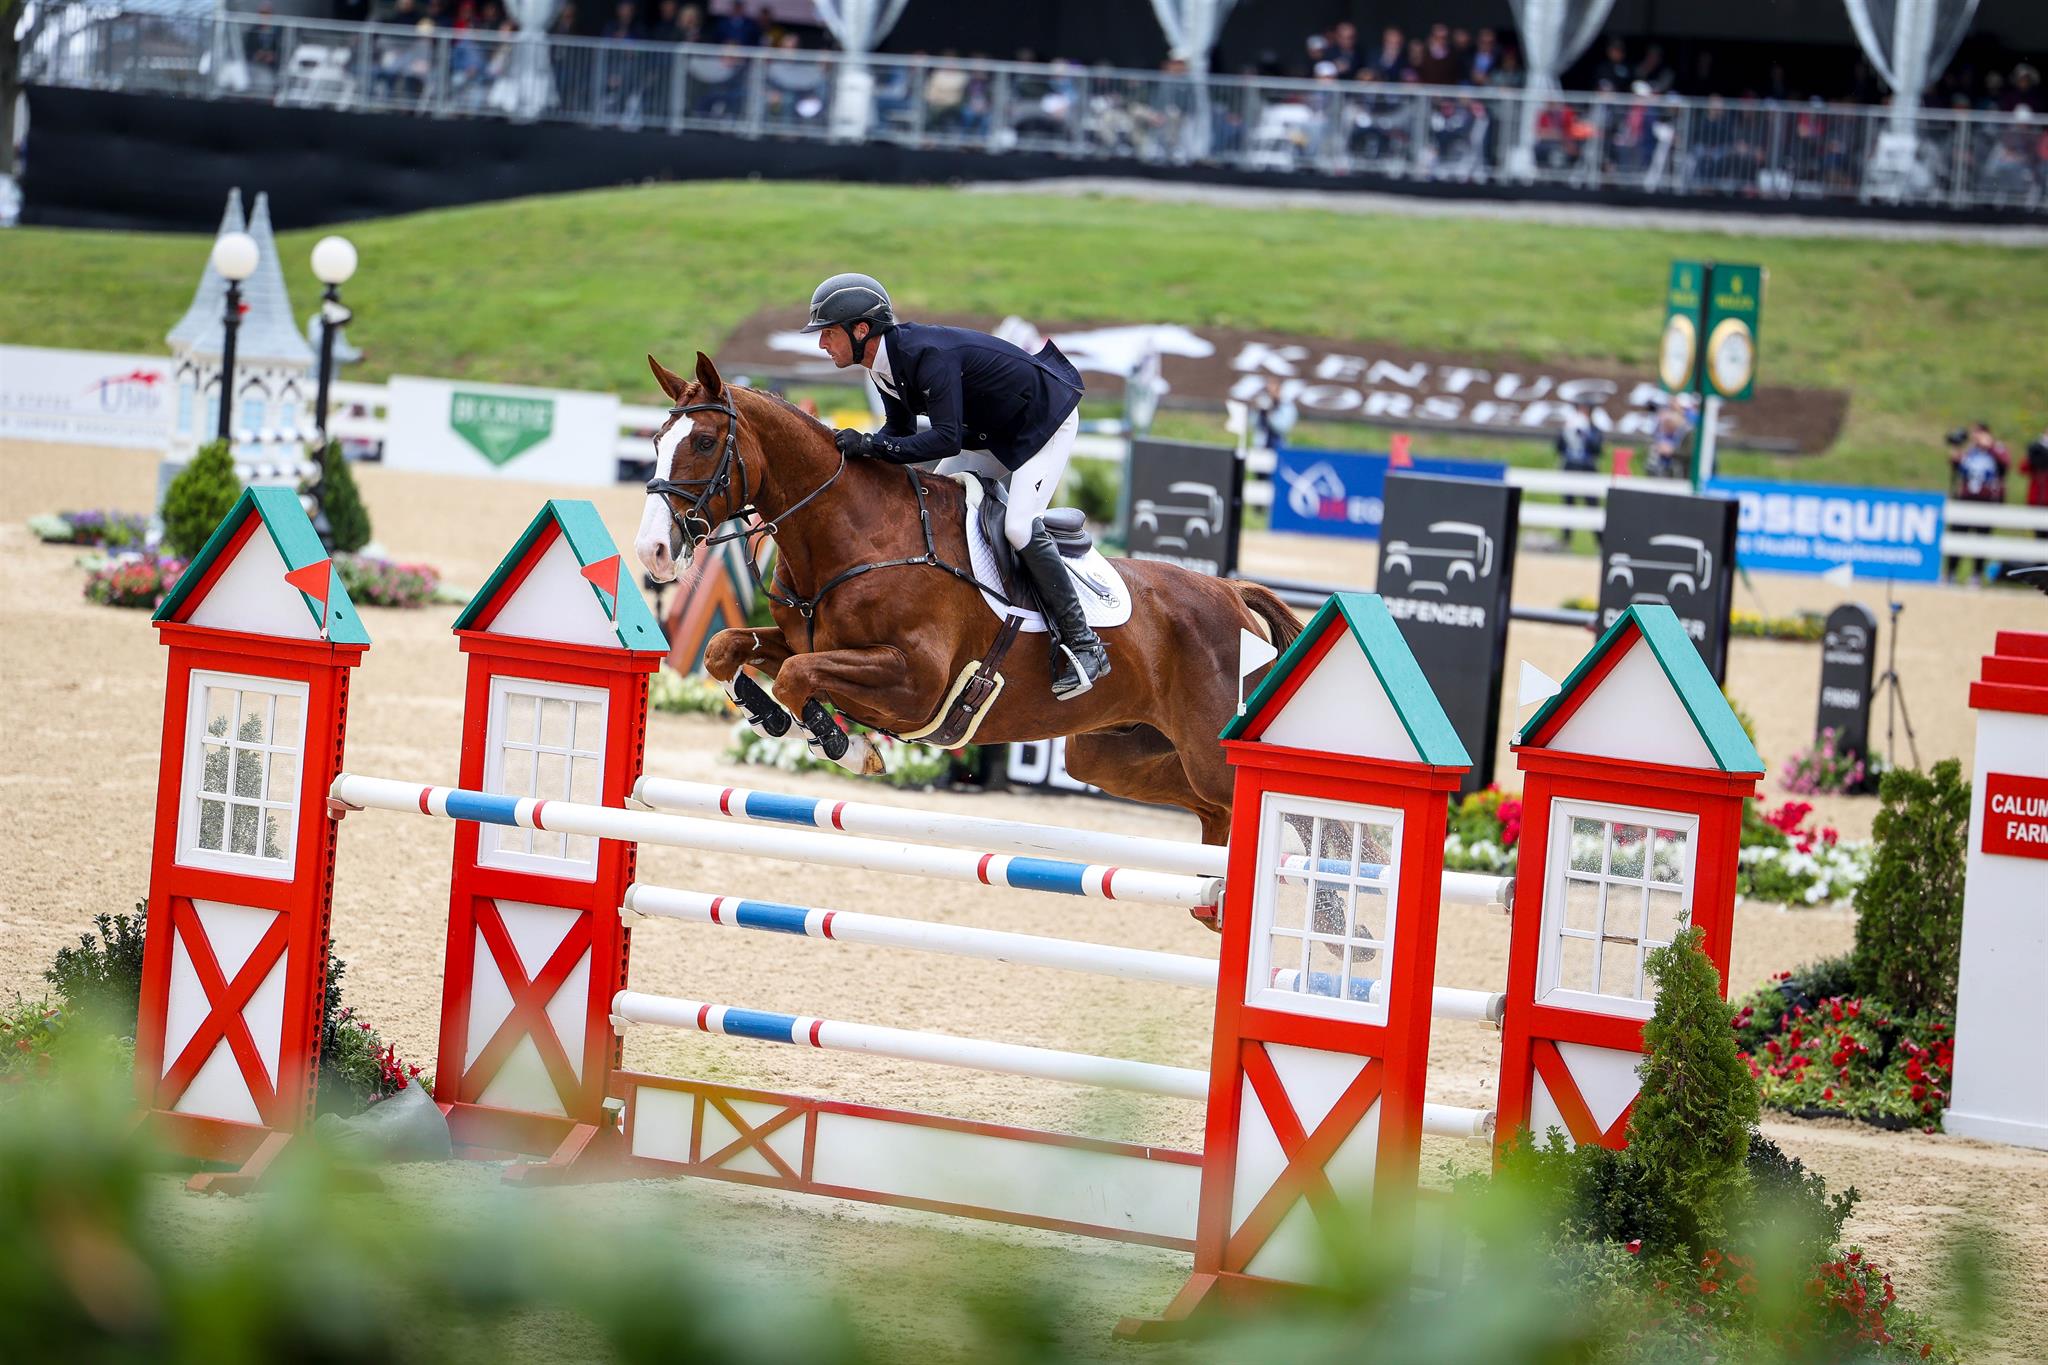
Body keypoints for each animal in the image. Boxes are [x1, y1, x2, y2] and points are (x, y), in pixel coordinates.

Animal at [630, 356, 1302, 855]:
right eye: (657, 441)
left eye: (706, 441)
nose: (653, 551)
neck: (853, 532)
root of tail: (1230, 592)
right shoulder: (808, 641)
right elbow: (727, 650)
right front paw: (769, 715)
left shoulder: (915, 683)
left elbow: (798, 678)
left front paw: (845, 747)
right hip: (1111, 754)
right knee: (1211, 811)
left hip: (1206, 750)